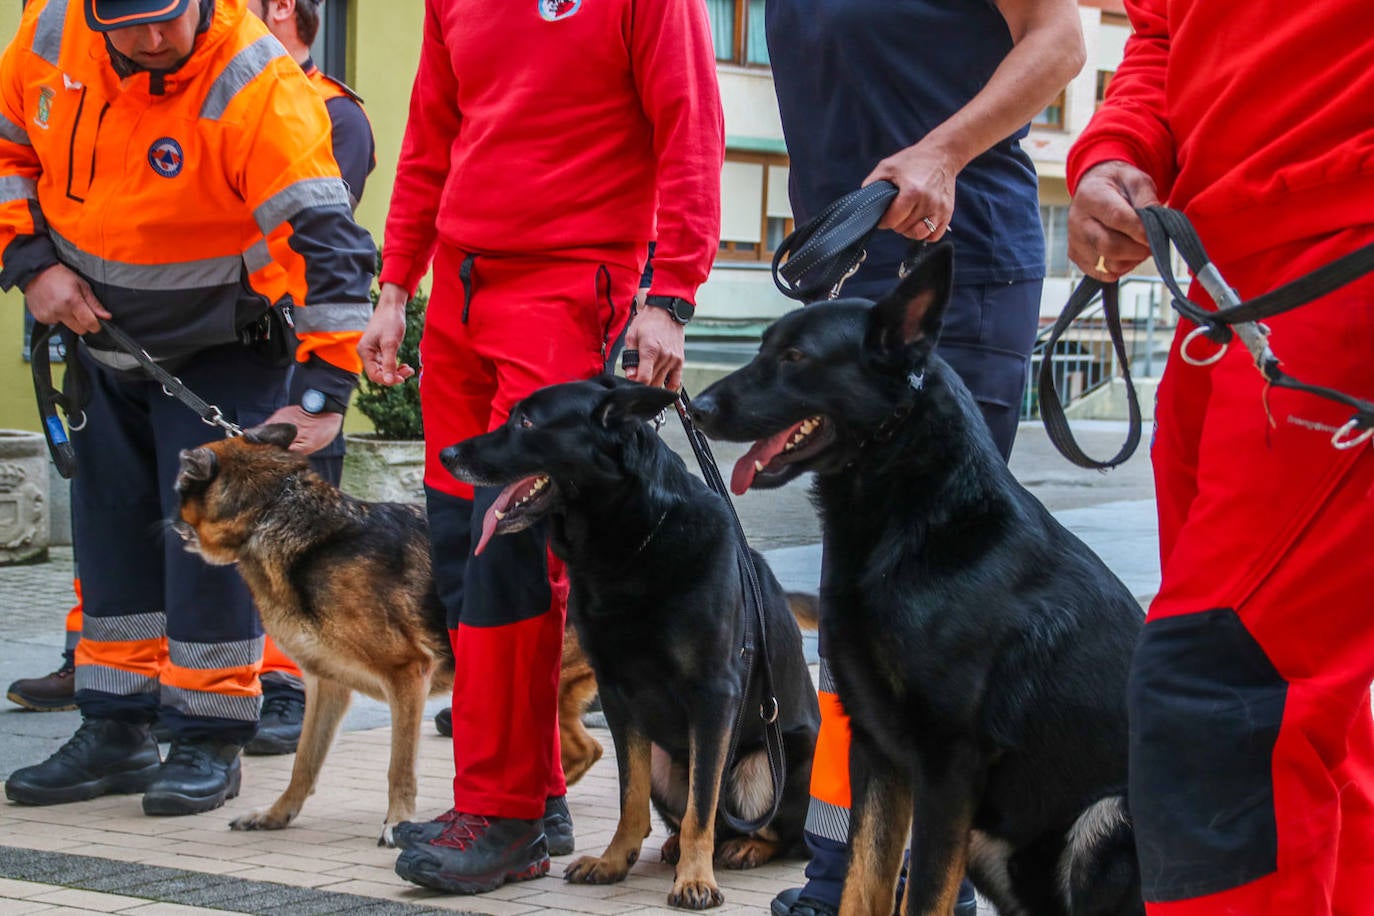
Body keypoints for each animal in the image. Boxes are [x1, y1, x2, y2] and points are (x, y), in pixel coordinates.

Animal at [439, 379, 818, 911]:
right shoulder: (619, 695)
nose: (446, 454)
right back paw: (674, 846)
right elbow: (630, 796)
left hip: (776, 759)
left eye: (527, 422)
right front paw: (615, 860)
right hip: (664, 755)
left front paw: (695, 879)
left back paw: (742, 846)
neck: (632, 542)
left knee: (772, 830)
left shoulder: (713, 694)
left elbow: (703, 802)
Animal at [681, 245, 1143, 916]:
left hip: (1105, 819)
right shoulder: (879, 754)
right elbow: (863, 883)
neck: (916, 517)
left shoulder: (947, 771)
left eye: (795, 358)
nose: (697, 408)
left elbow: (921, 895)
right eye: (764, 347)